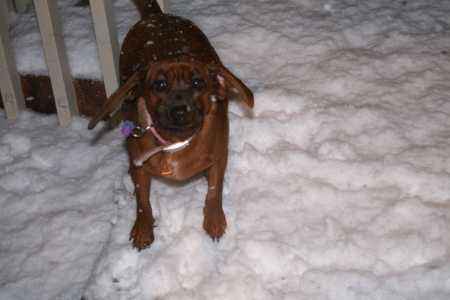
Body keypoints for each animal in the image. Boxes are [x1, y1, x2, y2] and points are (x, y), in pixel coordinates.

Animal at [89, 0, 253, 251]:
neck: (176, 143)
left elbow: (214, 191)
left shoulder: (219, 158)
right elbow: (142, 201)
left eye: (197, 83)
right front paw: (143, 228)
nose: (179, 112)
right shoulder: (141, 167)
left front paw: (214, 219)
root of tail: (156, 15)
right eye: (160, 85)